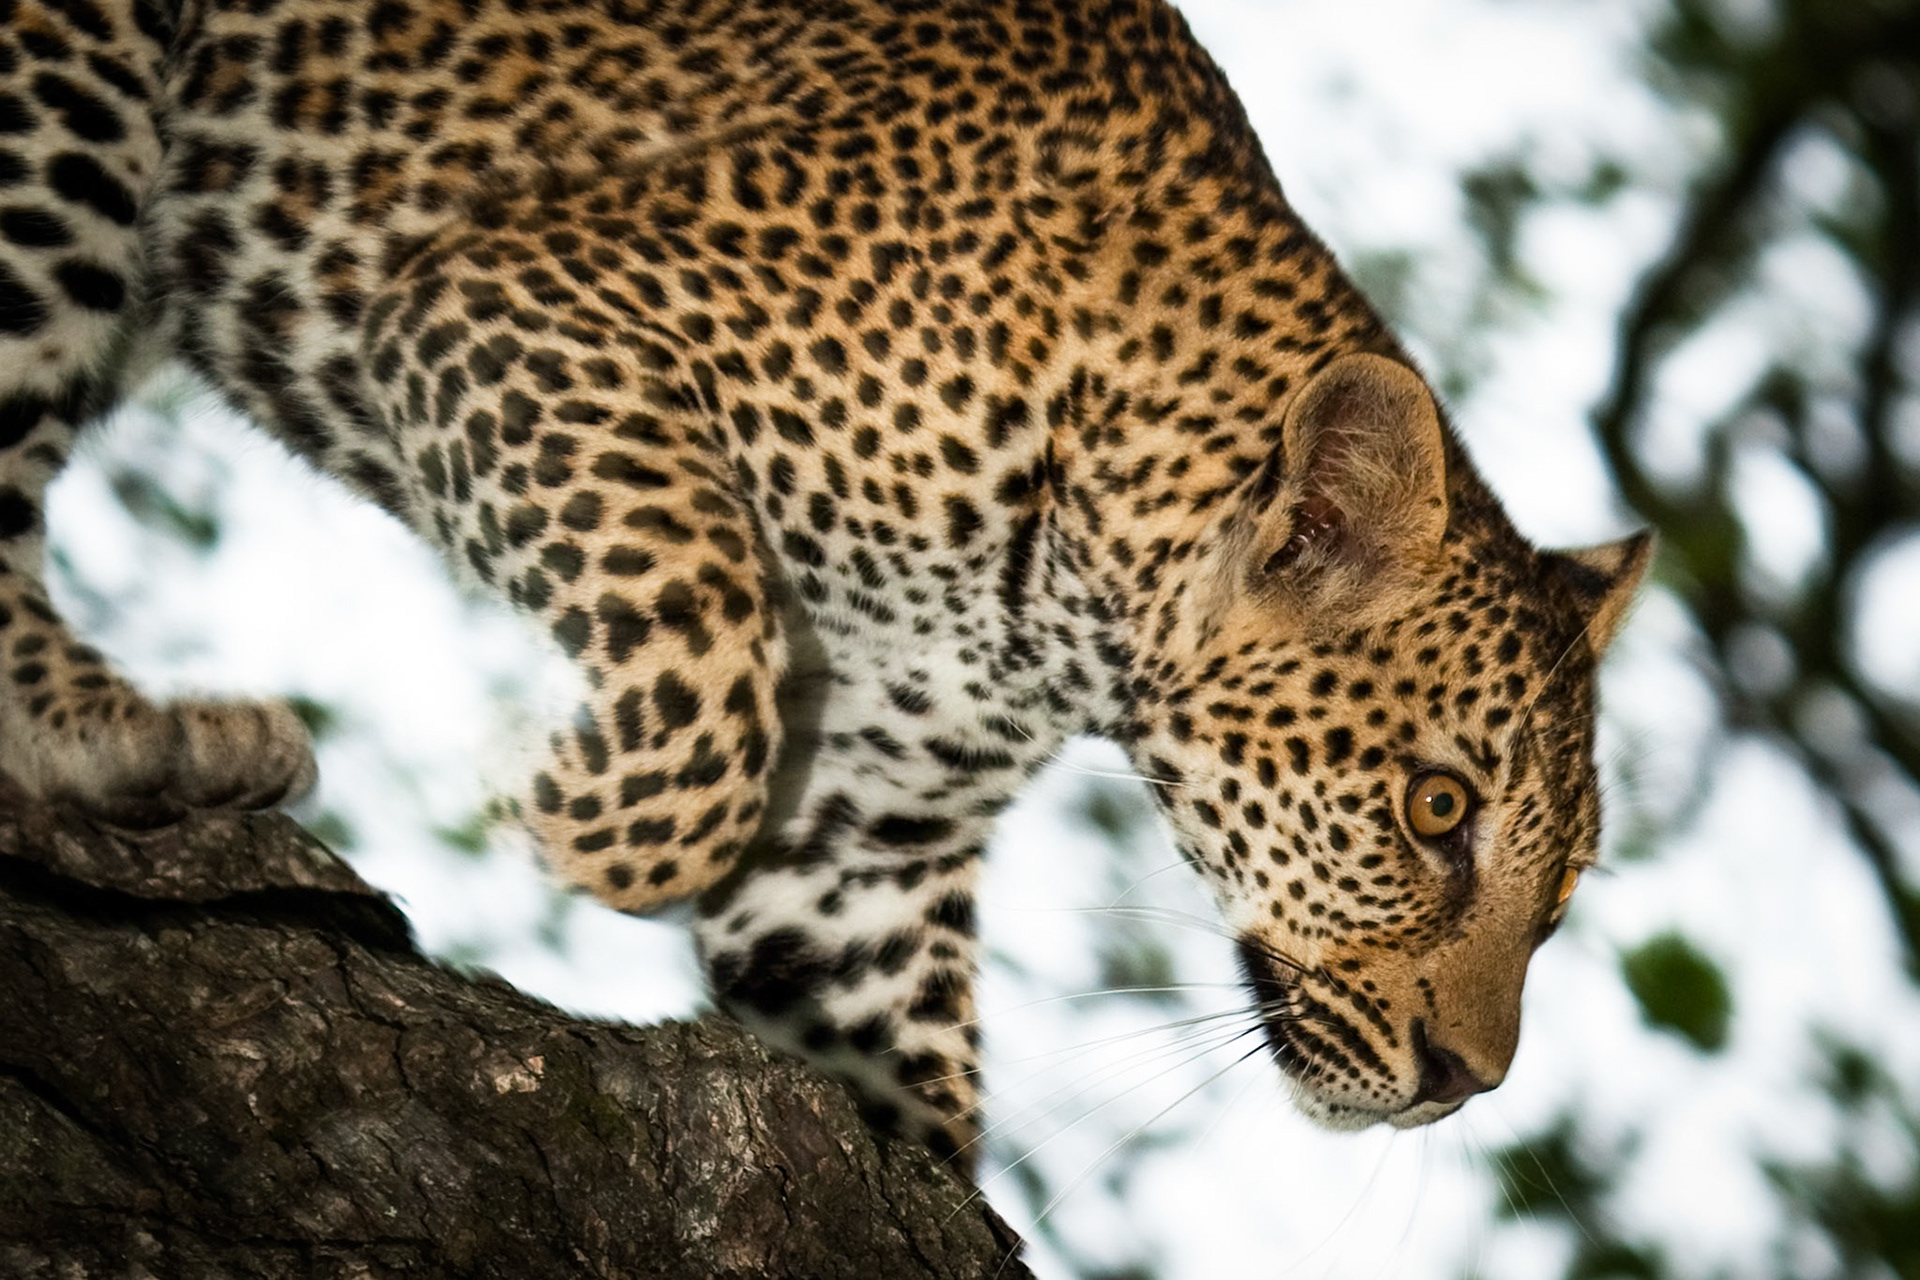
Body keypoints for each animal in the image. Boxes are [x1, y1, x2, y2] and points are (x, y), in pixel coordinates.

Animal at [0, 0, 1650, 1165]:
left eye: (1559, 903)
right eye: (1433, 810)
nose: (1460, 1086)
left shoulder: (870, 840)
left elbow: (896, 1057)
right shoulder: (515, 302)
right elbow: (704, 684)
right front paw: (542, 794)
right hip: (71, 103)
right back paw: (127, 739)